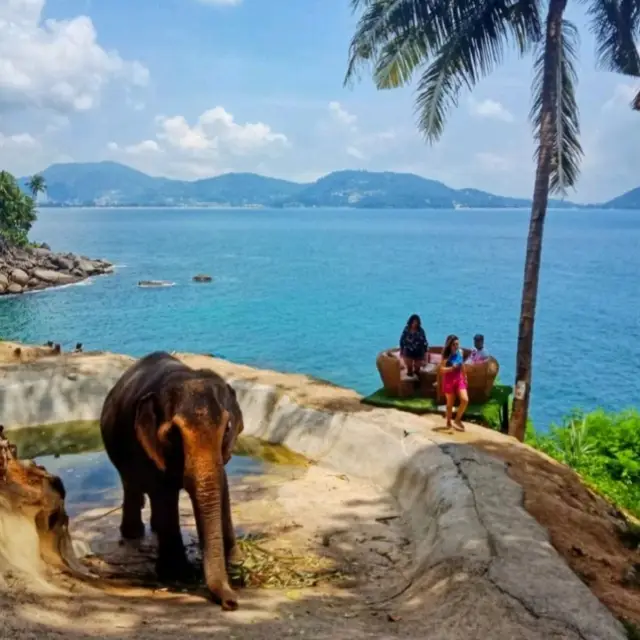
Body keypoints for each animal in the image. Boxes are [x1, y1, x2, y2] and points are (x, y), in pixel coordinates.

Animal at [100, 350, 245, 608]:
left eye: (227, 428)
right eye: (173, 434)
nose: (231, 603)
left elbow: (223, 485)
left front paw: (236, 562)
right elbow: (163, 493)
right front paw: (178, 574)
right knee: (132, 486)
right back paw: (134, 534)